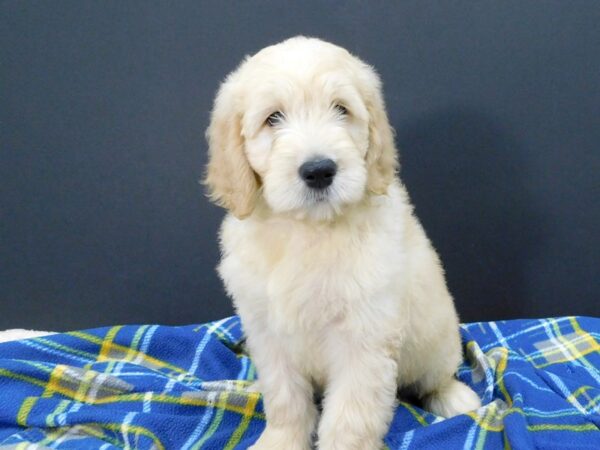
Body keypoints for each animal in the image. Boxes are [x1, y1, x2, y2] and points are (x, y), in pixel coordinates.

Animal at [204, 36, 480, 450]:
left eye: (341, 109)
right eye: (273, 118)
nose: (319, 170)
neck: (309, 229)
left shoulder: (363, 338)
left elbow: (349, 417)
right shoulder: (268, 333)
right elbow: (285, 399)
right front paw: (280, 440)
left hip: (437, 339)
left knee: (436, 378)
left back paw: (456, 398)